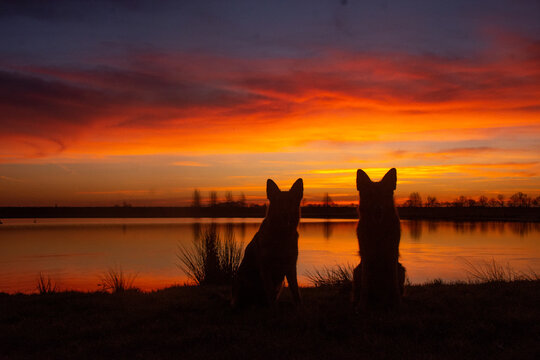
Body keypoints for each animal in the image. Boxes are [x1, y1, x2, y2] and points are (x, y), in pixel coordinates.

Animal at [232, 179, 304, 308]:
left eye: (290, 201)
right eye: (278, 202)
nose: (285, 214)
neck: (281, 236)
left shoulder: (290, 266)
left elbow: (295, 290)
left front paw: (299, 307)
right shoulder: (266, 267)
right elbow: (269, 291)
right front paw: (273, 309)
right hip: (243, 279)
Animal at [354, 169, 404, 310]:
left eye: (384, 195)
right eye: (370, 195)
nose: (378, 209)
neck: (378, 228)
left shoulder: (392, 255)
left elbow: (394, 285)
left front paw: (398, 304)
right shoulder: (366, 256)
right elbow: (365, 286)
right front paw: (362, 306)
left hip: (401, 270)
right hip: (357, 271)